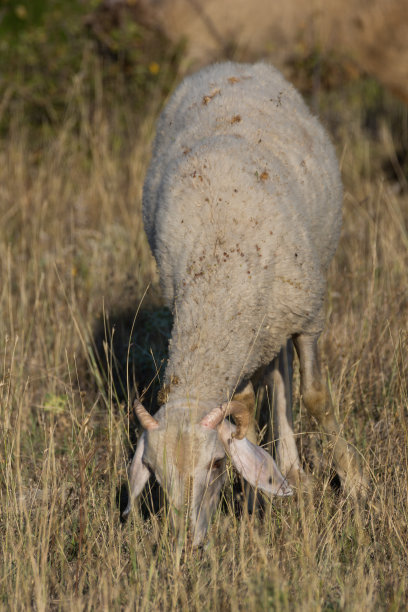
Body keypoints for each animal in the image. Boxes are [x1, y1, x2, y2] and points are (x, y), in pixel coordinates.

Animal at [122, 62, 364, 548]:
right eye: (152, 471)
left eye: (215, 464)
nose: (185, 544)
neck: (218, 272)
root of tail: (233, 65)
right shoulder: (244, 337)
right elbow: (247, 414)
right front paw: (255, 504)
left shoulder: (308, 314)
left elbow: (314, 396)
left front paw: (353, 480)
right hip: (265, 326)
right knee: (273, 374)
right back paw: (288, 467)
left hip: (285, 306)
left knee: (286, 376)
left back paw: (296, 465)